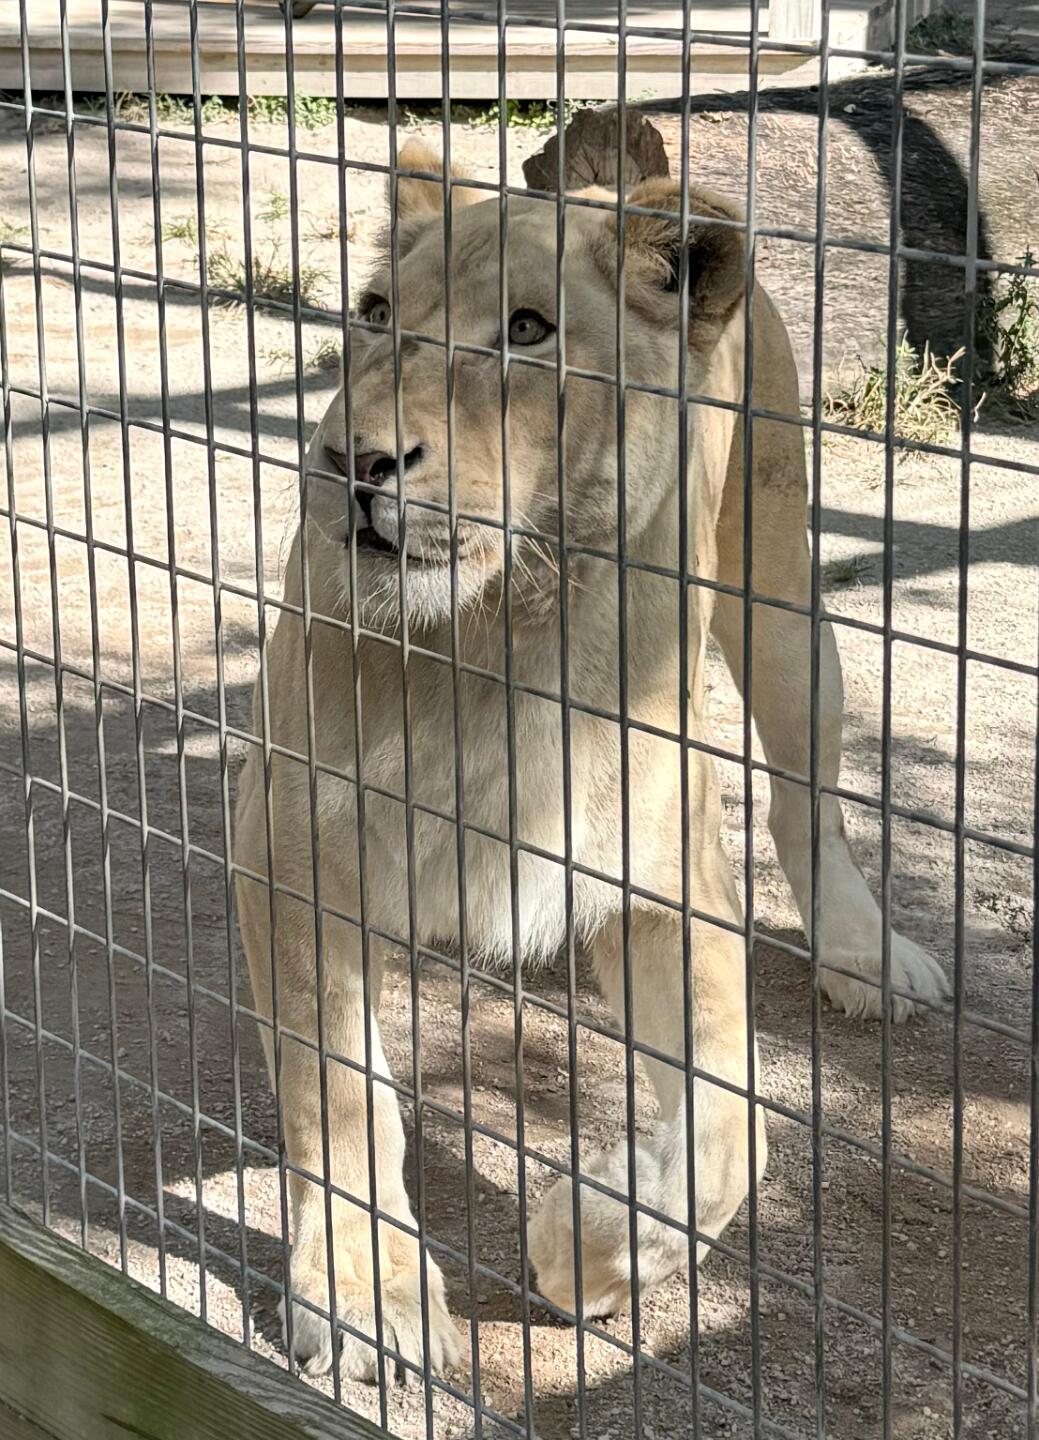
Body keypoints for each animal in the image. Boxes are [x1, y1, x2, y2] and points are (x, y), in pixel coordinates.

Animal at [232, 137, 949, 1386]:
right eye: (374, 315)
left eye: (527, 331)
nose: (352, 460)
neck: (496, 639)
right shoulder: (289, 846)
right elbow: (338, 1098)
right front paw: (369, 1299)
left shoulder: (668, 889)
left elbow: (733, 1131)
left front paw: (585, 1250)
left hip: (780, 591)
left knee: (806, 797)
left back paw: (868, 957)